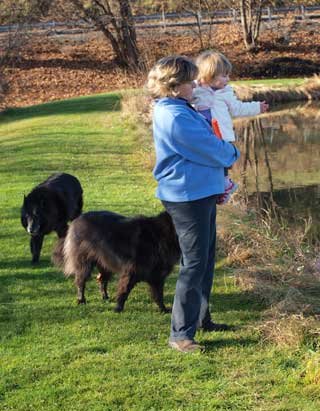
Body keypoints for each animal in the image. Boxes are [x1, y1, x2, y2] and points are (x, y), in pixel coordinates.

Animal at [53, 211, 181, 314]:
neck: (159, 236)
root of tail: (77, 219)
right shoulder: (131, 272)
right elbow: (124, 291)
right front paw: (118, 308)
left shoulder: (157, 277)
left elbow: (159, 295)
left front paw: (163, 309)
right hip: (85, 264)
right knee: (80, 281)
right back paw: (81, 300)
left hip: (105, 264)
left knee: (102, 280)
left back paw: (105, 297)